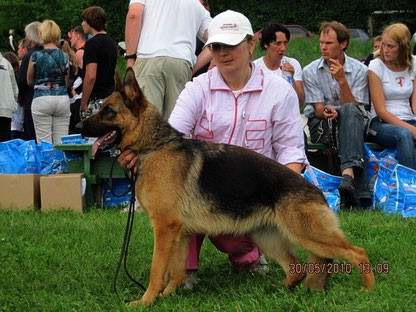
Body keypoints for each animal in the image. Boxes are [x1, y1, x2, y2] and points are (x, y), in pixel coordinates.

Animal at [83, 68, 376, 304]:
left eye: (108, 110)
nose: (79, 124)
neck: (154, 146)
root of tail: (316, 191)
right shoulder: (178, 233)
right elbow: (175, 271)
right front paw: (168, 297)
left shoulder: (164, 229)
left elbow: (158, 270)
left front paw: (146, 301)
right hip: (268, 238)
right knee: (298, 268)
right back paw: (278, 289)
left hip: (308, 235)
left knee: (358, 253)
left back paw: (367, 291)